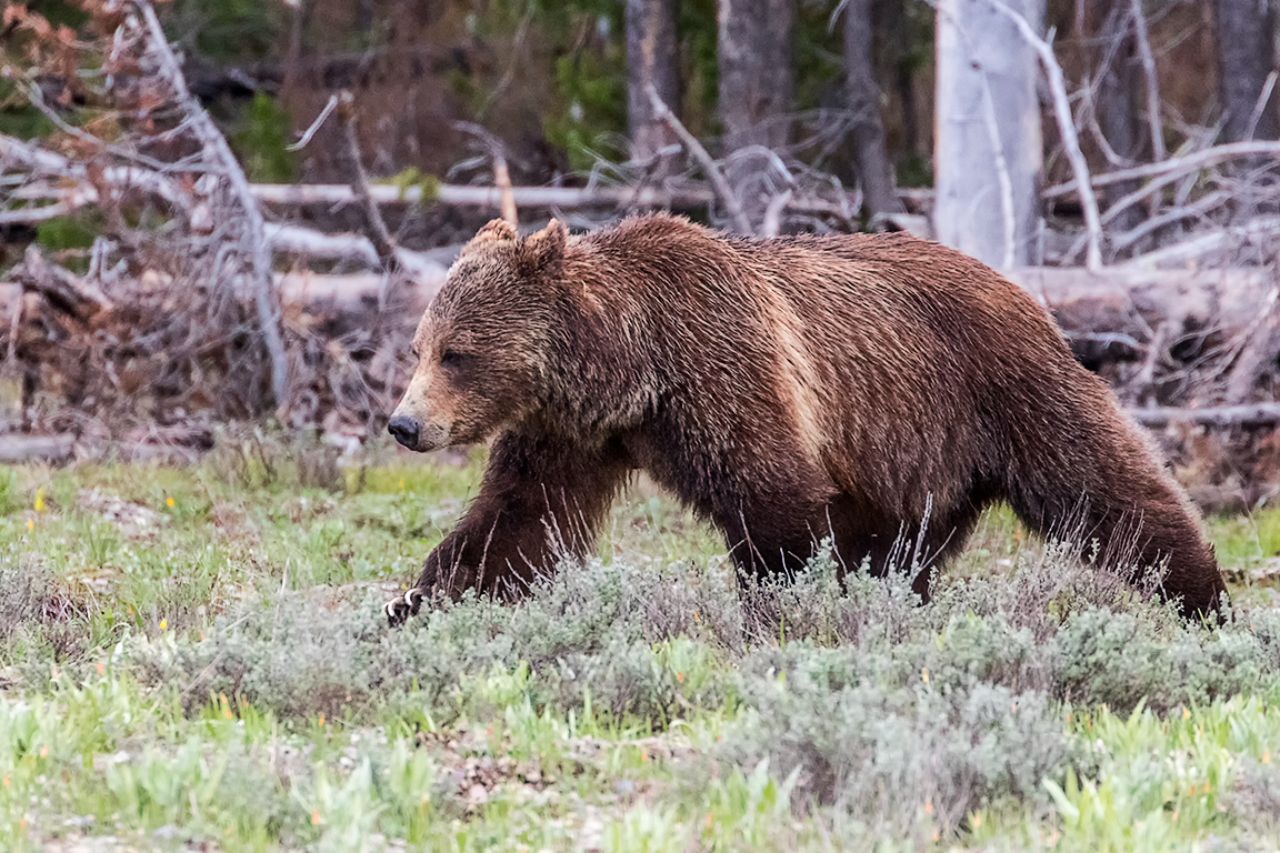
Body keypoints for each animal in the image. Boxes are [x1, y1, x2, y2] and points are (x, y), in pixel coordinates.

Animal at [384, 214, 1227, 624]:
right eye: (419, 346)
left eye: (457, 353)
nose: (403, 424)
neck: (629, 366)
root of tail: (1024, 289)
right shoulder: (569, 431)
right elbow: (517, 520)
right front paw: (416, 601)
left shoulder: (724, 369)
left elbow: (775, 502)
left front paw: (782, 610)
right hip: (912, 461)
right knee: (900, 550)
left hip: (1003, 390)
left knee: (1103, 486)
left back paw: (1204, 595)